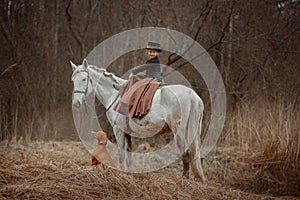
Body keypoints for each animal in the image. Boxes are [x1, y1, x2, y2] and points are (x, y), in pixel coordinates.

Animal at [71, 59, 205, 181]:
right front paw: (128, 174)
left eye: (84, 79)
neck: (114, 94)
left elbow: (121, 155)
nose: (76, 103)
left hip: (179, 131)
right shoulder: (127, 133)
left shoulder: (118, 130)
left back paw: (184, 180)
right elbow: (128, 156)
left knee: (186, 155)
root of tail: (192, 95)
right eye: (73, 80)